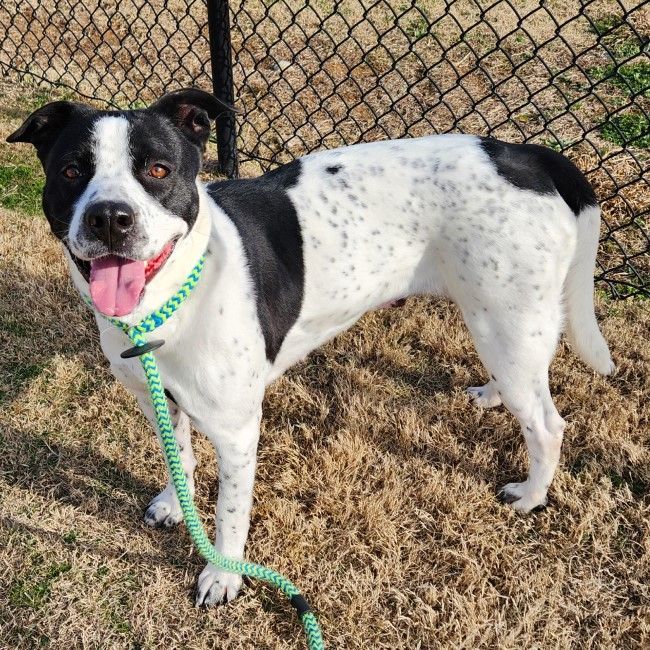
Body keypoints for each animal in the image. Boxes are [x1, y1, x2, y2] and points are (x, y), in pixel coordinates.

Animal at [6, 86, 612, 604]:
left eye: (158, 170)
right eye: (71, 171)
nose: (109, 217)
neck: (169, 301)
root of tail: (526, 154)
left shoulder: (236, 432)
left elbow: (229, 512)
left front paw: (223, 576)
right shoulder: (155, 400)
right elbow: (177, 455)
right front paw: (174, 505)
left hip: (507, 322)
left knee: (547, 424)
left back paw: (531, 495)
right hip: (500, 329)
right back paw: (491, 395)